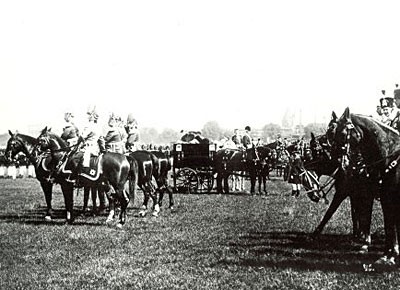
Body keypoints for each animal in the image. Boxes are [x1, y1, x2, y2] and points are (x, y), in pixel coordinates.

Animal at [332, 109, 398, 268]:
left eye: (343, 133)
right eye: (332, 132)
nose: (339, 161)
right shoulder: (384, 198)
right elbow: (388, 226)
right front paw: (387, 255)